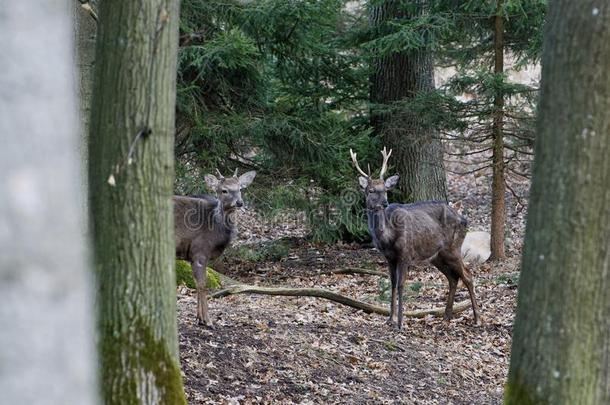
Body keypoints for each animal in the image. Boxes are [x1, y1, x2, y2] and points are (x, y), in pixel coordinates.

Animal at [173, 167, 254, 326]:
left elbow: (198, 283)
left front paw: (199, 318)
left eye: (240, 188)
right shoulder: (199, 251)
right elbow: (202, 284)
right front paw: (207, 320)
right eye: (224, 190)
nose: (240, 202)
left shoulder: (193, 256)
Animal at [350, 148, 478, 328]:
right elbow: (392, 283)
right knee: (453, 278)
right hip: (437, 255)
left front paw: (400, 323)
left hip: (453, 247)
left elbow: (401, 284)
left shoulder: (405, 253)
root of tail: (464, 219)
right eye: (371, 190)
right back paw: (446, 317)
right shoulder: (389, 257)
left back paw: (477, 318)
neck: (387, 238)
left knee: (467, 275)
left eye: (385, 190)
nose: (384, 203)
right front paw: (390, 319)